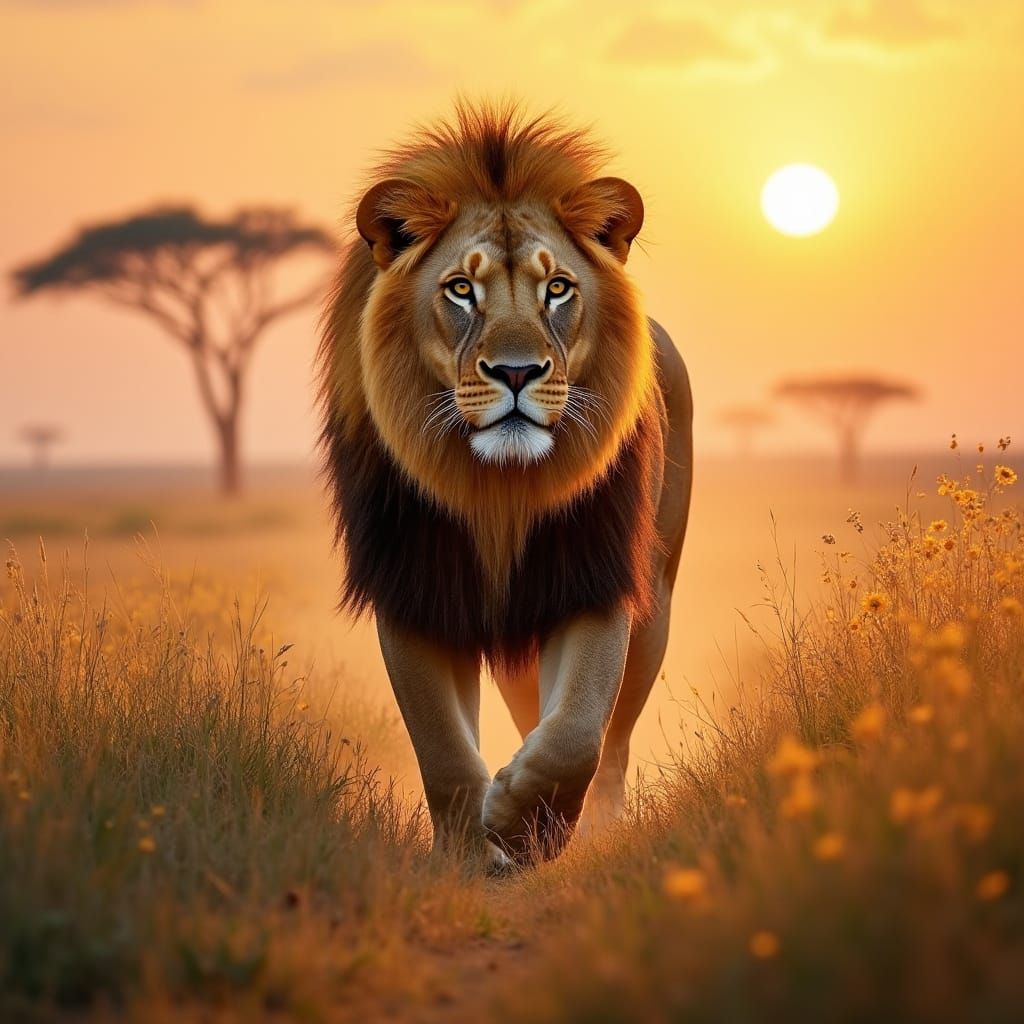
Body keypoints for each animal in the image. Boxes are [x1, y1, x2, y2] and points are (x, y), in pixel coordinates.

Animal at [318, 102, 692, 867]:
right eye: (462, 288)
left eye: (558, 288)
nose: (517, 372)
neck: (498, 493)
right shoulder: (413, 588)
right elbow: (442, 751)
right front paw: (468, 854)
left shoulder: (591, 576)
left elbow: (577, 732)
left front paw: (524, 825)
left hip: (657, 605)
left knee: (615, 738)